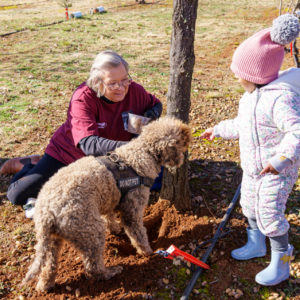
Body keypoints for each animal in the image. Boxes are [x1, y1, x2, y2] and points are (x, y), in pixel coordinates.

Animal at [24, 116, 192, 292]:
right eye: (181, 140)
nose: (188, 131)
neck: (140, 153)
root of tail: (46, 214)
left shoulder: (110, 200)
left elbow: (110, 217)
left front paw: (116, 229)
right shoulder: (132, 211)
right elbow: (138, 234)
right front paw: (147, 252)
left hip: (53, 240)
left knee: (48, 267)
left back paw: (45, 285)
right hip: (90, 230)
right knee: (92, 267)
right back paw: (109, 272)